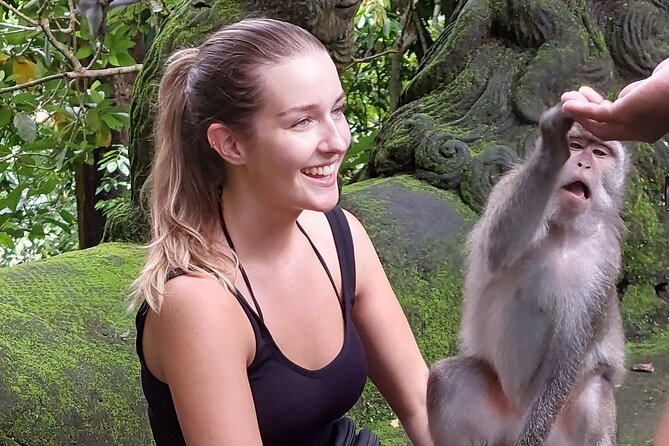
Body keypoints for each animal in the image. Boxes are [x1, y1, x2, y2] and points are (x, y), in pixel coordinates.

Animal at [427, 105, 629, 446]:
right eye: (577, 145)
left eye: (600, 152)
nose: (583, 162)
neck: (563, 232)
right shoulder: (507, 186)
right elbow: (497, 245)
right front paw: (553, 147)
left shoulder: (606, 260)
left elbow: (571, 351)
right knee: (448, 381)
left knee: (594, 391)